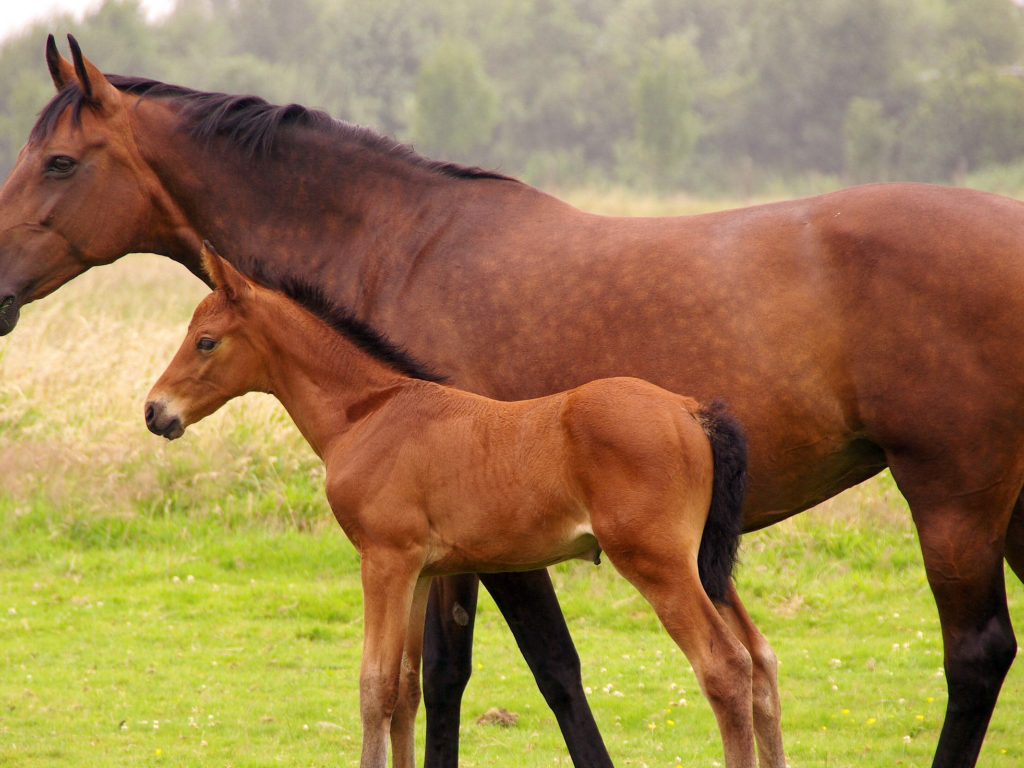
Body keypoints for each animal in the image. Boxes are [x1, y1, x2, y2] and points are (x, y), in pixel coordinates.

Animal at [146, 247, 774, 768]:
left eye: (206, 340)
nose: (155, 411)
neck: (369, 413)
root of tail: (693, 411)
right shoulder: (421, 571)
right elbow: (405, 688)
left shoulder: (384, 560)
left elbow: (374, 686)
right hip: (703, 565)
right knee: (761, 662)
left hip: (657, 562)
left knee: (725, 666)